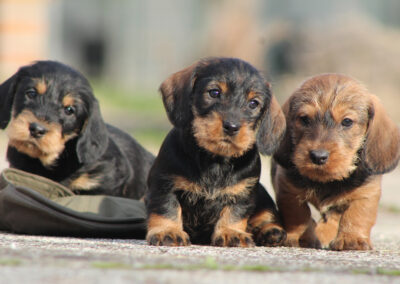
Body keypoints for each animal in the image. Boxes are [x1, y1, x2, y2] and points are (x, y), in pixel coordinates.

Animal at [147, 57, 288, 246]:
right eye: (214, 92)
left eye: (253, 104)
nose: (232, 127)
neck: (215, 160)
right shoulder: (165, 185)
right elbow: (166, 209)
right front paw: (168, 231)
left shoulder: (242, 193)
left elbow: (234, 214)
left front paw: (231, 232)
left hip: (263, 195)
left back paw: (270, 231)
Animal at [272, 74, 400, 251]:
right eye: (304, 119)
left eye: (347, 121)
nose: (318, 156)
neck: (328, 181)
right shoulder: (288, 189)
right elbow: (298, 214)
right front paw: (299, 237)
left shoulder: (366, 192)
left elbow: (356, 215)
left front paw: (352, 238)